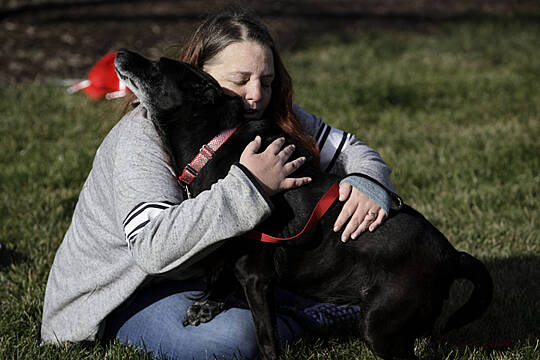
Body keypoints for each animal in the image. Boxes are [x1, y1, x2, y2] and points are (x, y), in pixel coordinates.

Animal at [114, 50, 494, 360]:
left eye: (157, 67)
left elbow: (267, 339)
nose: (121, 52)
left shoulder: (257, 277)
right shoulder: (226, 248)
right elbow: (220, 273)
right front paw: (208, 304)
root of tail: (451, 255)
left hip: (381, 325)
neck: (213, 146)